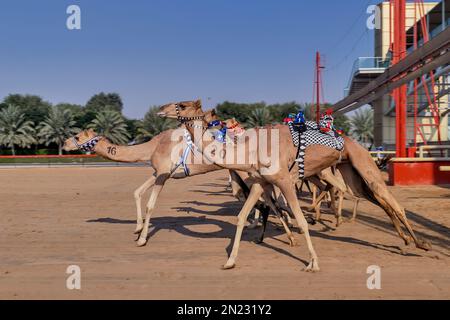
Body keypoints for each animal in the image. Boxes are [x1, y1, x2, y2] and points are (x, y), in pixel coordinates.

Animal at [157, 100, 432, 272]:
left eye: (181, 104)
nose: (160, 109)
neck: (250, 150)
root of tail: (359, 143)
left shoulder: (284, 181)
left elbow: (298, 219)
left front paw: (313, 262)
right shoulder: (261, 182)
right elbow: (243, 215)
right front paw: (230, 261)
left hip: (362, 164)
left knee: (390, 201)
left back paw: (421, 244)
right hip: (352, 173)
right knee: (377, 199)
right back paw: (408, 241)